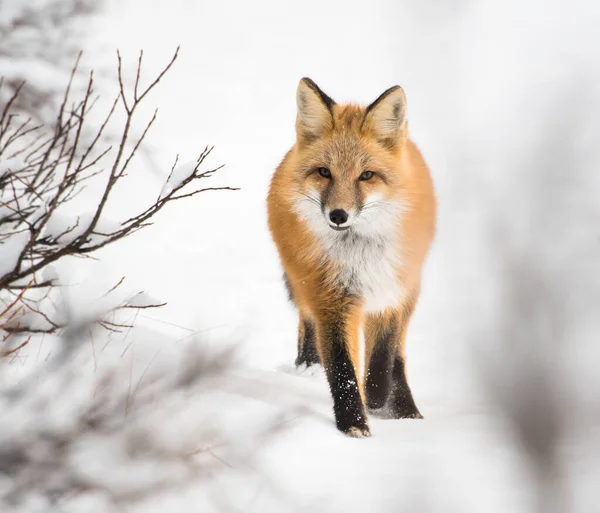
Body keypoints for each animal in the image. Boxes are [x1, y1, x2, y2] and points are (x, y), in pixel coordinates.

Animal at [268, 77, 436, 436]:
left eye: (367, 175)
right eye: (324, 172)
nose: (338, 215)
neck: (360, 254)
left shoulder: (393, 289)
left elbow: (384, 353)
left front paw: (376, 397)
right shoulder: (330, 296)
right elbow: (343, 369)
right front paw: (353, 425)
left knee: (398, 356)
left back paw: (405, 408)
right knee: (307, 326)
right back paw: (309, 366)